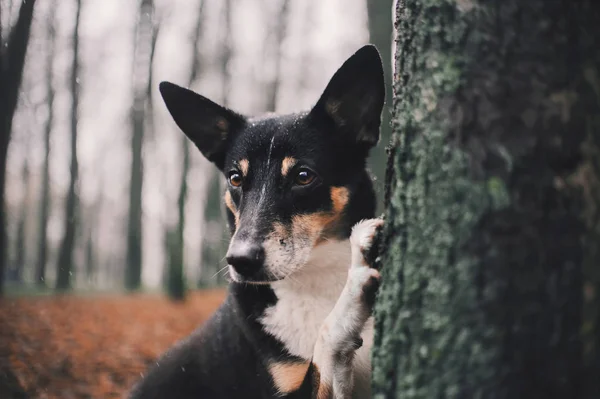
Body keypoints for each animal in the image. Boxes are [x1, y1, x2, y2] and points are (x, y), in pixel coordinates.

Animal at [129, 44, 386, 399]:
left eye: (303, 176)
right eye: (235, 178)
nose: (241, 261)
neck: (314, 281)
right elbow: (325, 338)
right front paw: (358, 271)